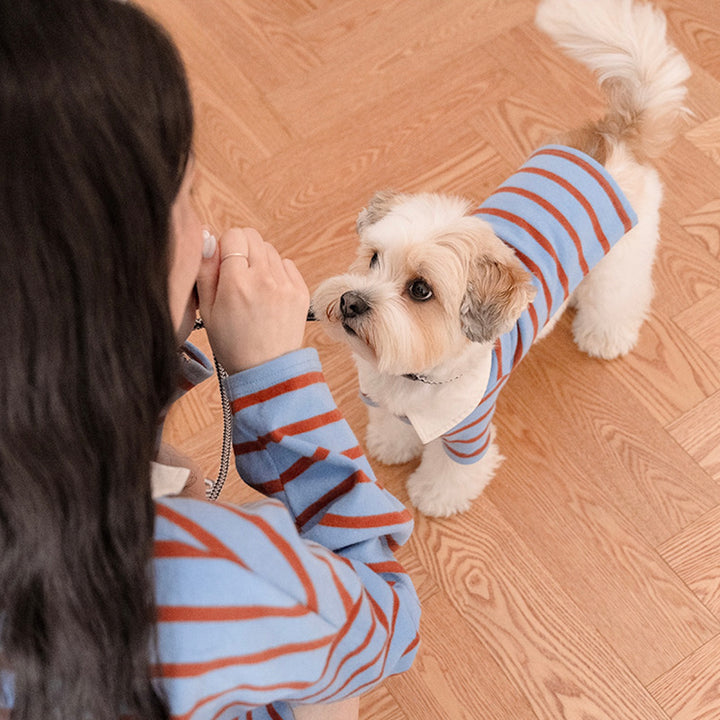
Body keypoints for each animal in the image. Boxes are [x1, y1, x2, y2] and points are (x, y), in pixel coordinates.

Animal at [310, 0, 692, 516]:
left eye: (420, 290)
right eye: (372, 259)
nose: (351, 301)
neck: (414, 375)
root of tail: (613, 138)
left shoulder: (468, 429)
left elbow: (454, 470)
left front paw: (435, 495)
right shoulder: (384, 398)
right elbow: (392, 423)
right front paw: (393, 444)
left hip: (621, 261)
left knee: (621, 297)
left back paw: (603, 335)